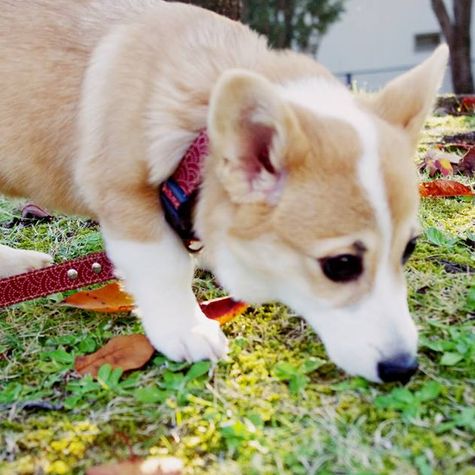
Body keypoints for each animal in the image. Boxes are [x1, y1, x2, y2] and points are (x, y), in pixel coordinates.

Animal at [0, 0, 450, 384]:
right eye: (340, 265)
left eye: (408, 250)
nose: (403, 368)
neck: (198, 127)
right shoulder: (124, 196)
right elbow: (165, 267)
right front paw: (188, 329)